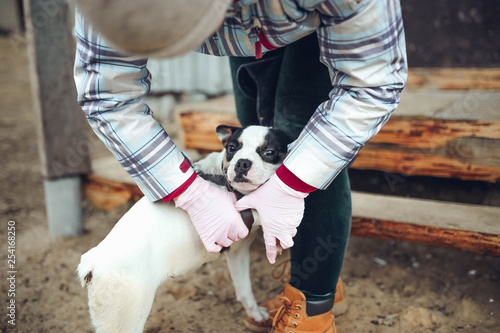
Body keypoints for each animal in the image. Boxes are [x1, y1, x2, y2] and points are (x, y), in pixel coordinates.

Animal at [77, 125, 290, 332]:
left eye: (269, 152)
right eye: (232, 148)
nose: (242, 163)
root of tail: (92, 263)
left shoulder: (238, 254)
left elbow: (244, 289)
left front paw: (255, 314)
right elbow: (263, 207)